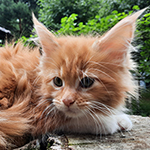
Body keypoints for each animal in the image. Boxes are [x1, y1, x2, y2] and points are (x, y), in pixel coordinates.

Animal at [0, 9, 146, 149]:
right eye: (58, 81)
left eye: (87, 82)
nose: (67, 101)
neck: (35, 82)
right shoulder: (34, 114)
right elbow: (76, 119)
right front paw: (111, 121)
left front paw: (118, 118)